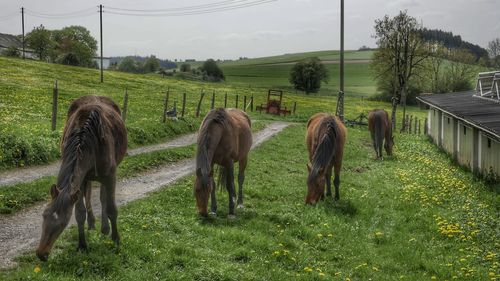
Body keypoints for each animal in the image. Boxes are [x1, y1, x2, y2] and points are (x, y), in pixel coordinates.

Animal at [36, 95, 127, 260]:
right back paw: (91, 224)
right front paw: (82, 245)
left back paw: (105, 228)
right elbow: (79, 213)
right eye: (44, 215)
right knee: (89, 195)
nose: (41, 254)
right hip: (88, 177)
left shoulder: (110, 176)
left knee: (103, 198)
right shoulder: (82, 179)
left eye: (63, 223)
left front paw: (116, 239)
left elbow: (111, 208)